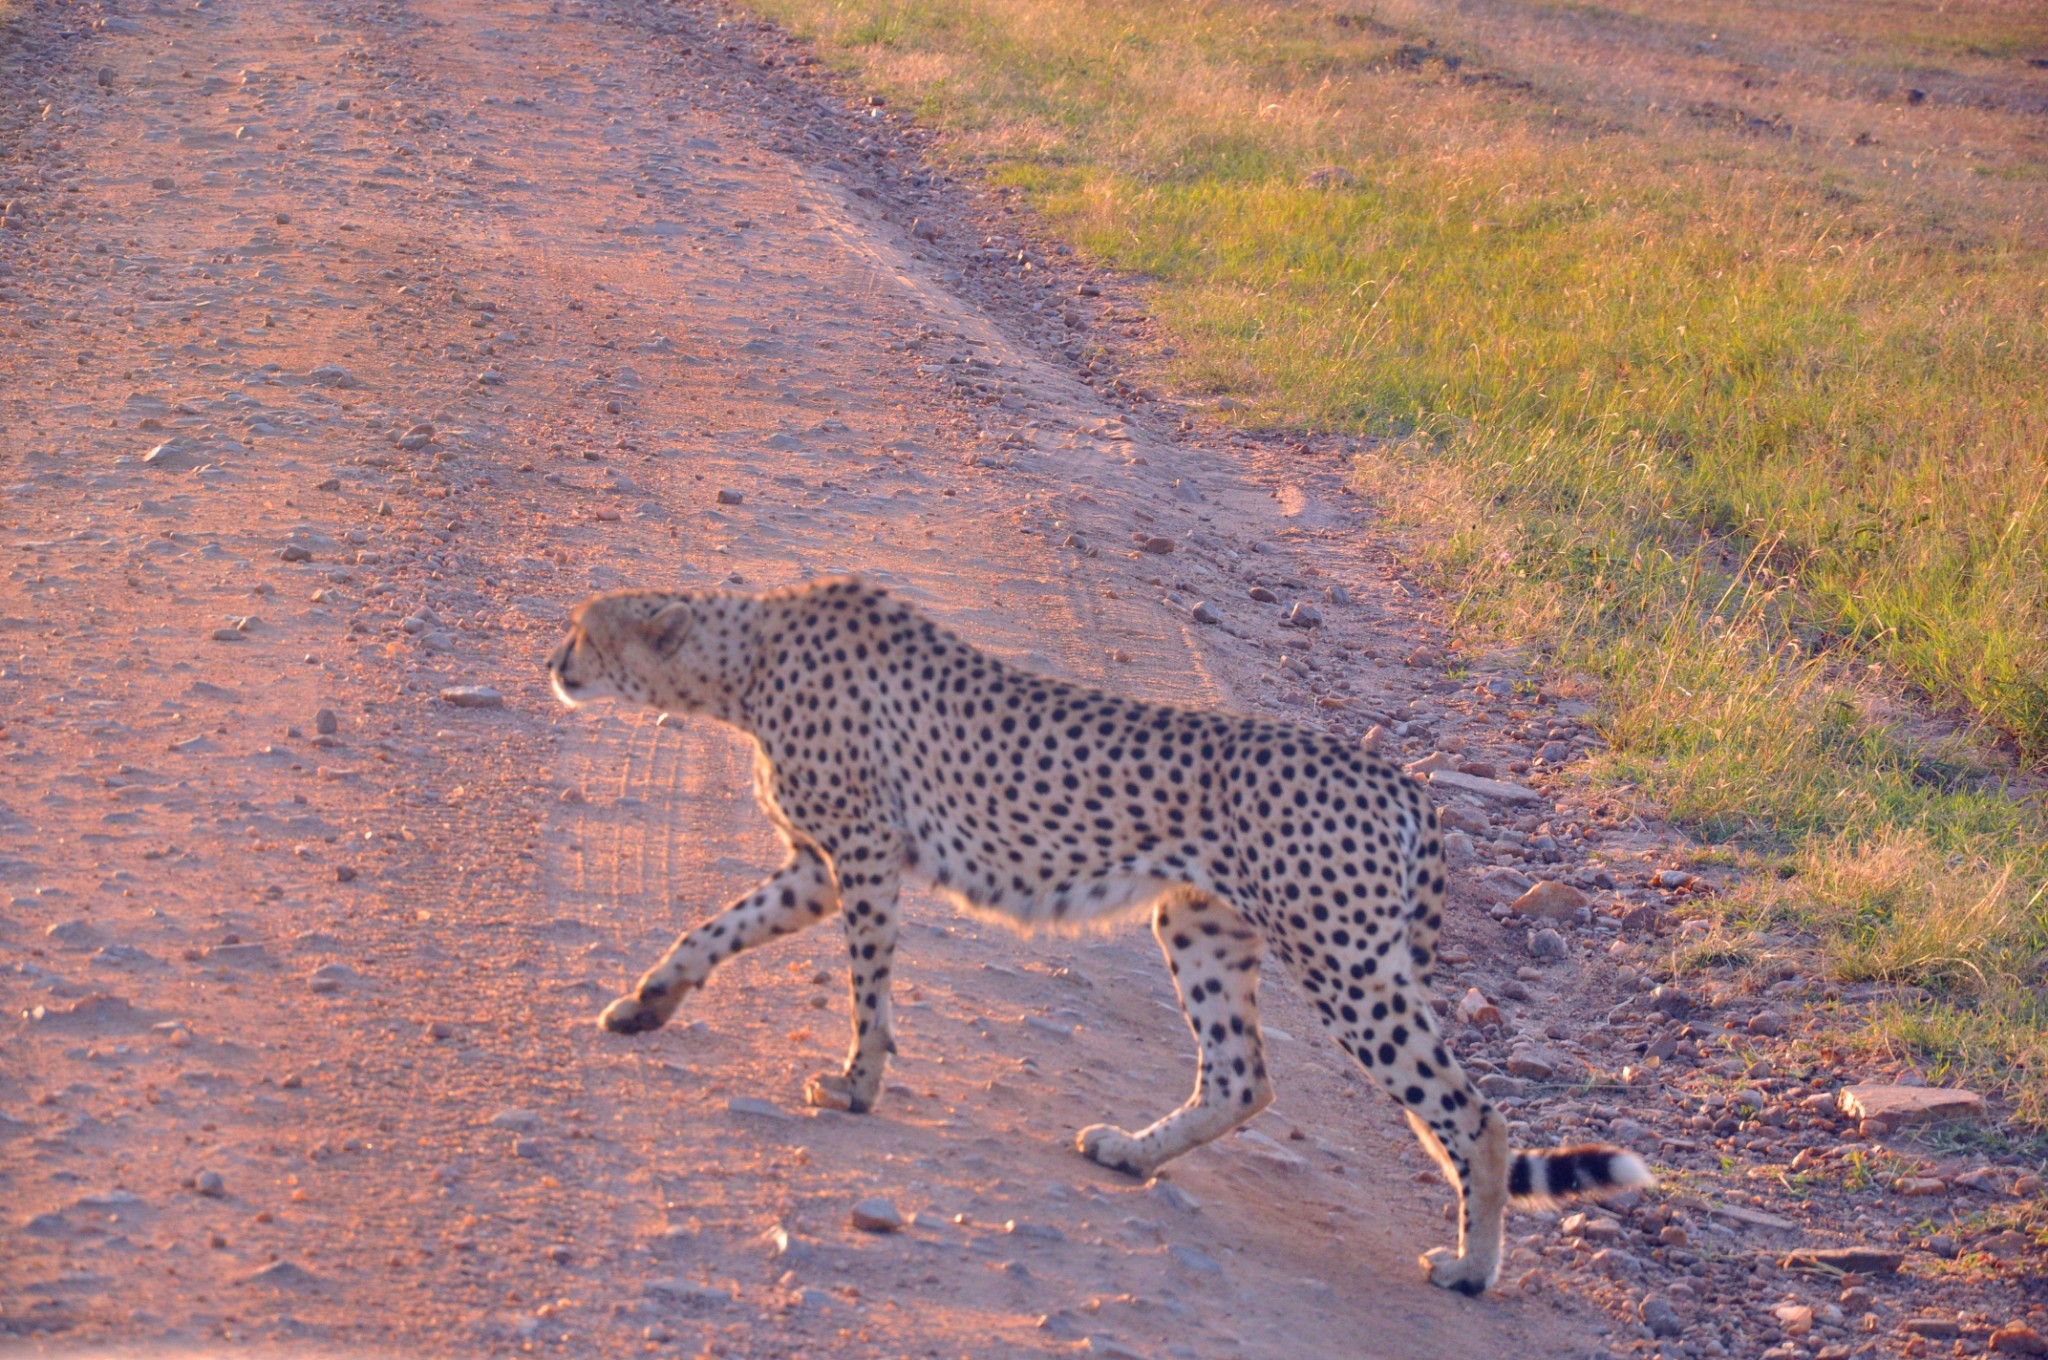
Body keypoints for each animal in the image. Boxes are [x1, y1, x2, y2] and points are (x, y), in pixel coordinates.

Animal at [552, 577, 1654, 1294]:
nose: (551, 663)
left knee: (1472, 1114)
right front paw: (645, 1002)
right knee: (1242, 1075)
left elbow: (868, 985)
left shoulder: (860, 854)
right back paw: (1131, 1152)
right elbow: (717, 927)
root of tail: (1401, 778)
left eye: (582, 631)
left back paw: (1469, 1267)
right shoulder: (819, 866)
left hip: (1344, 962)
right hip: (1202, 922)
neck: (742, 659)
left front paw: (857, 1086)